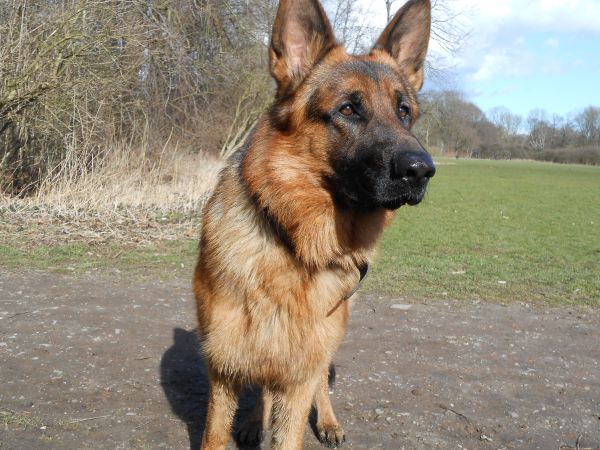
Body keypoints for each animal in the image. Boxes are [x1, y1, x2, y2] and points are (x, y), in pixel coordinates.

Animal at [195, 0, 434, 448]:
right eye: (348, 109)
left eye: (403, 112)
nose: (422, 170)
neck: (293, 242)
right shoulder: (224, 367)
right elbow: (216, 433)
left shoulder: (300, 371)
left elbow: (296, 417)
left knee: (320, 380)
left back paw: (327, 421)